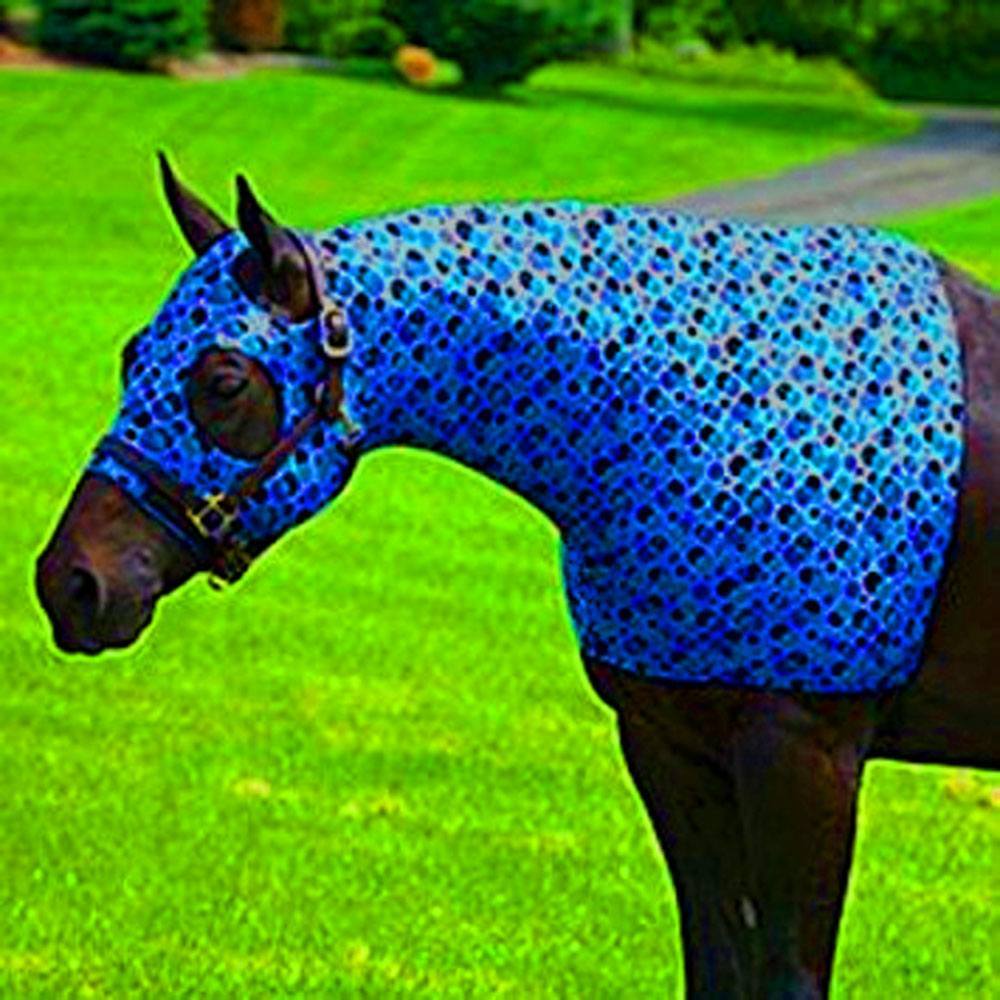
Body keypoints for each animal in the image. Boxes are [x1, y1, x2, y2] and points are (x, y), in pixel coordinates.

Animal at [36, 157, 998, 999]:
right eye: (131, 356)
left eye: (224, 380)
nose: (70, 582)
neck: (730, 408)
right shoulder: (672, 748)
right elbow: (719, 966)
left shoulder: (804, 759)